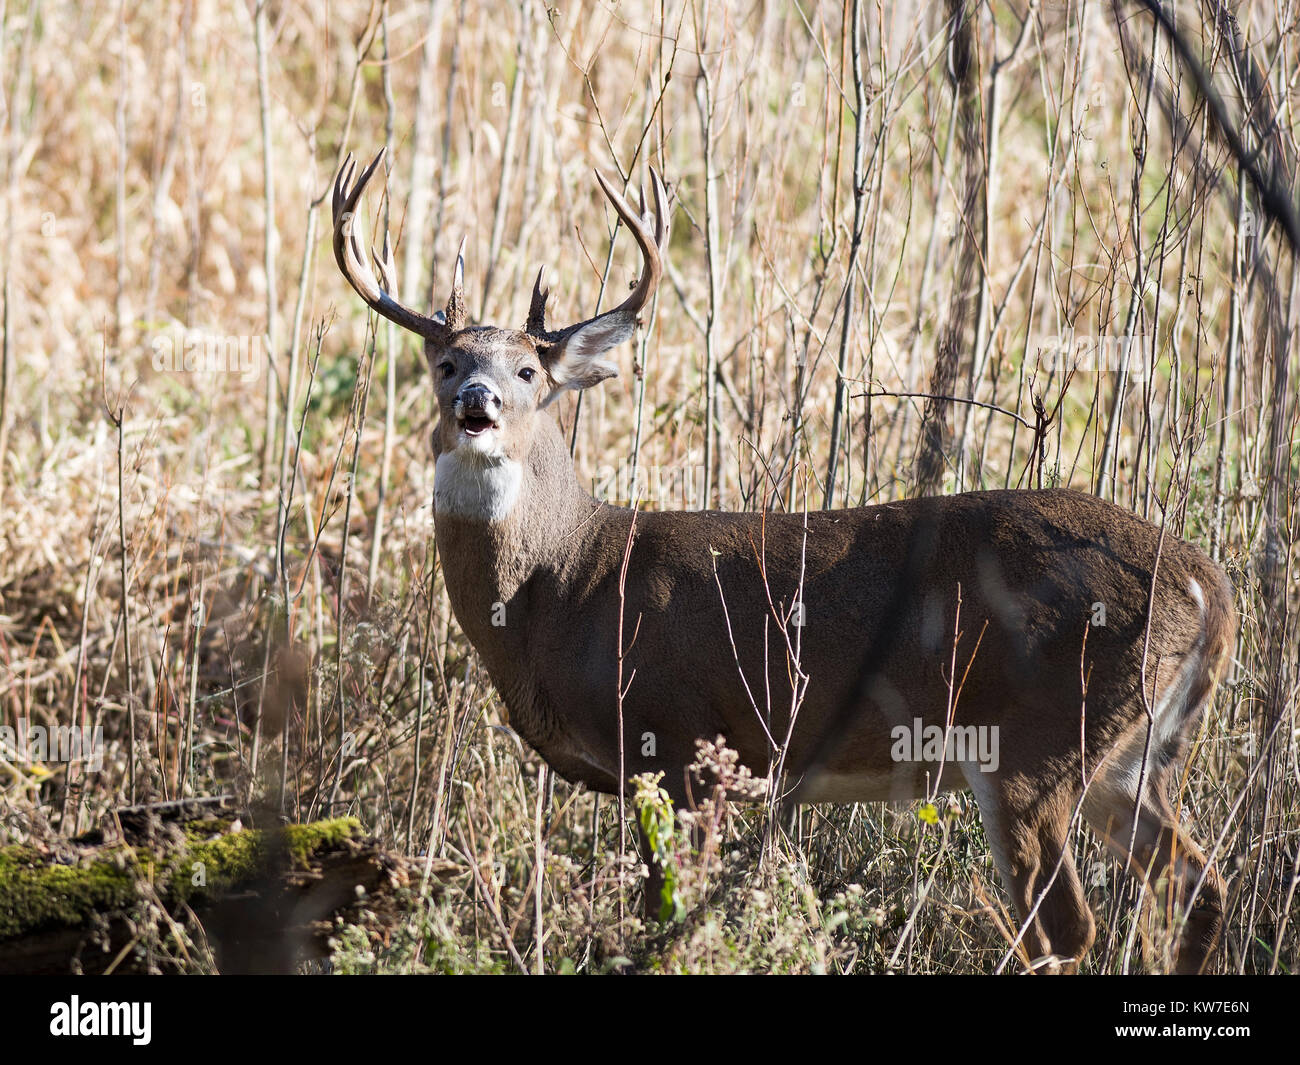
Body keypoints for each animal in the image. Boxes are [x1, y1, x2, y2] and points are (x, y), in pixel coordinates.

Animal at [331, 147, 1236, 974]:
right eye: (445, 362)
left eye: (526, 369)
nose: (475, 404)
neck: (568, 586)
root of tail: (1209, 584)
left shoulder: (682, 739)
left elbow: (673, 912)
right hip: (1133, 753)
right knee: (1196, 882)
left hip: (1037, 738)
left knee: (1065, 927)